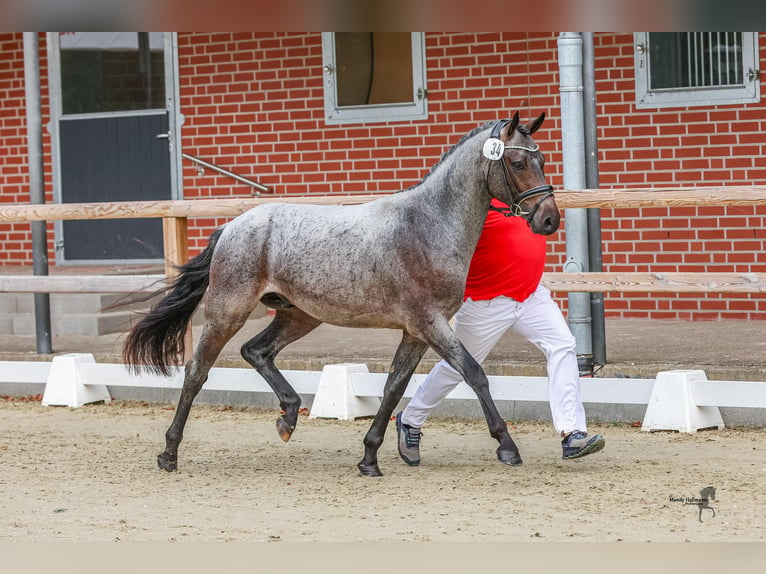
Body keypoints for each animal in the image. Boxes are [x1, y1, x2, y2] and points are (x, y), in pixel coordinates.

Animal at [123, 110, 560, 480]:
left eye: (542, 159)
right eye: (518, 163)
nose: (549, 219)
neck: (427, 225)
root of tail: (232, 226)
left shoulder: (416, 331)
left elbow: (393, 387)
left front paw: (369, 458)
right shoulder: (429, 322)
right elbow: (474, 373)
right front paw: (507, 446)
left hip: (299, 314)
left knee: (256, 351)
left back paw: (288, 418)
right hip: (228, 310)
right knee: (197, 370)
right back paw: (169, 453)